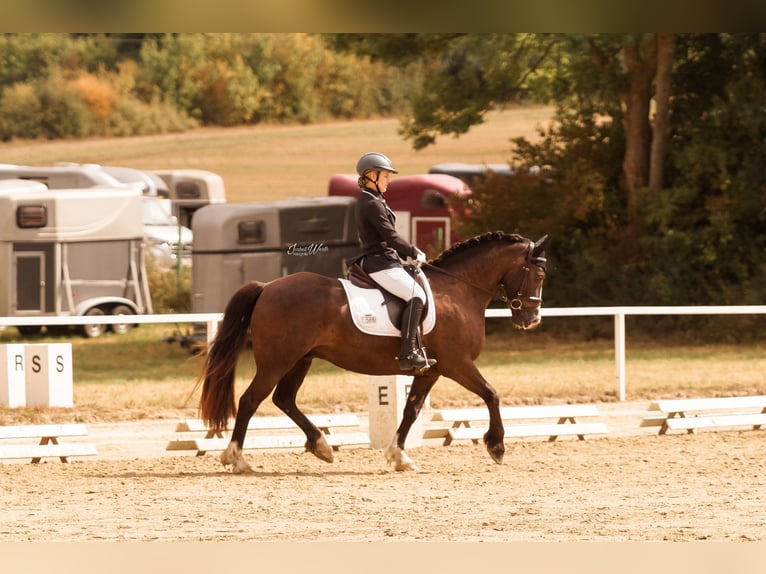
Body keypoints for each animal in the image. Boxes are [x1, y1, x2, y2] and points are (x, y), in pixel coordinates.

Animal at [197, 231, 549, 473]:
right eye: (540, 274)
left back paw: (321, 446)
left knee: (284, 399)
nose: (531, 319)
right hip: (276, 361)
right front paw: (497, 446)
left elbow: (411, 410)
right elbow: (491, 393)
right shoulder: (457, 364)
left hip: (301, 359)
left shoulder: (431, 370)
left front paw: (399, 456)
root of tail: (267, 287)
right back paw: (237, 458)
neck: (458, 290)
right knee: (250, 400)